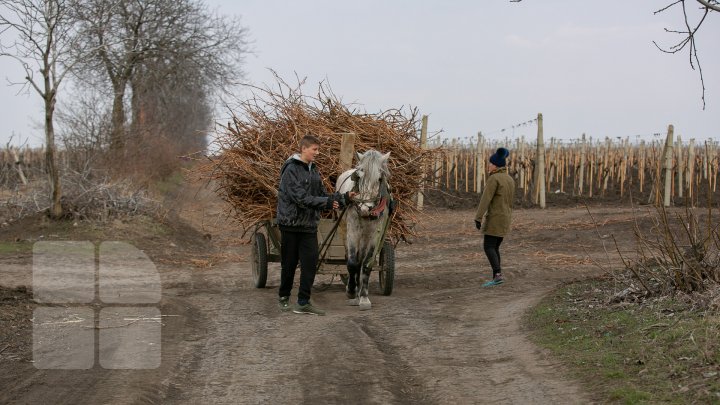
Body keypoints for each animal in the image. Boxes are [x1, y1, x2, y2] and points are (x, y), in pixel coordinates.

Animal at [334, 148, 390, 310]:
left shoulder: (375, 234)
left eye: (379, 178)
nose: (365, 208)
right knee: (350, 257)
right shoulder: (353, 230)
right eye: (359, 176)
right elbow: (352, 262)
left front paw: (363, 297)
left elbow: (366, 263)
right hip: (344, 229)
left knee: (361, 259)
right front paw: (352, 291)